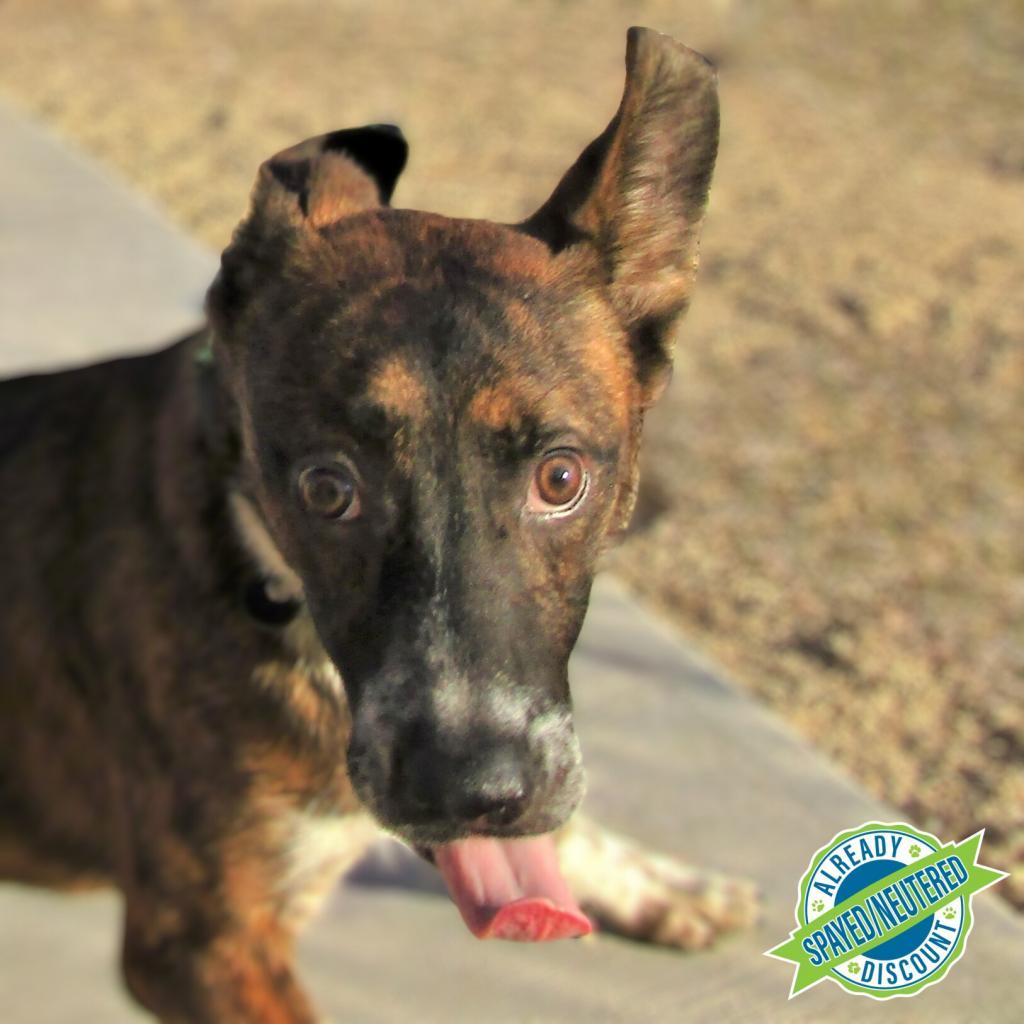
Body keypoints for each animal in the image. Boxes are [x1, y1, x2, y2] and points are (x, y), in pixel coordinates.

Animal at [0, 28, 753, 1019]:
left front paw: (648, 880)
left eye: (561, 478)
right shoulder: (203, 944)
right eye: (328, 489)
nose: (472, 793)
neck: (265, 586)